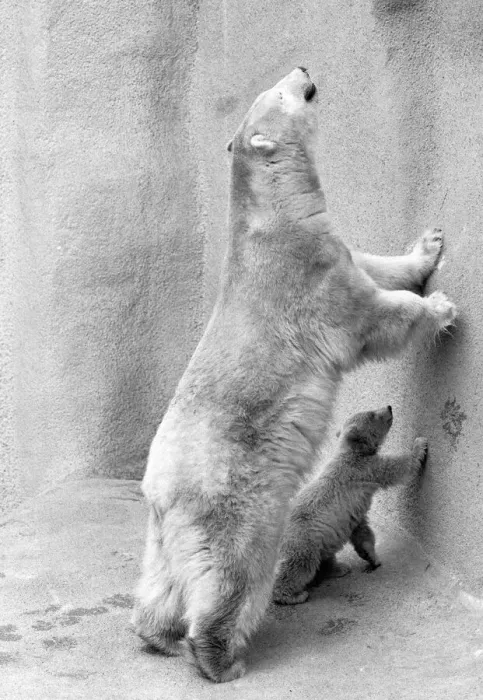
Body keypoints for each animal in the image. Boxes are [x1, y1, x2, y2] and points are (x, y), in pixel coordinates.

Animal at [272, 406, 428, 605]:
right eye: (372, 414)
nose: (389, 407)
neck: (350, 451)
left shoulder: (353, 511)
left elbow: (362, 532)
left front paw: (371, 556)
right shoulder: (364, 469)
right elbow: (397, 467)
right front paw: (420, 443)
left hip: (322, 538)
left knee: (324, 557)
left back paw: (339, 568)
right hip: (303, 541)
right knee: (299, 566)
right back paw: (293, 595)